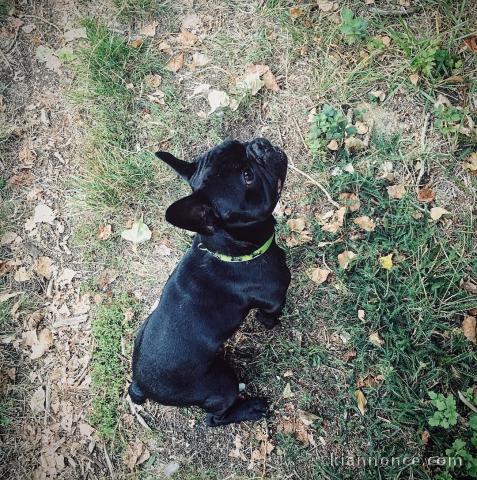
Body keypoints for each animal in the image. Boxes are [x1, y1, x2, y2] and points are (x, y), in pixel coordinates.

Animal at [127, 137, 290, 426]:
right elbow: (271, 313)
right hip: (221, 384)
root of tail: (140, 386)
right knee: (216, 418)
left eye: (237, 142)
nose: (259, 144)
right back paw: (251, 409)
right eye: (247, 176)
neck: (228, 251)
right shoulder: (275, 296)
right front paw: (270, 323)